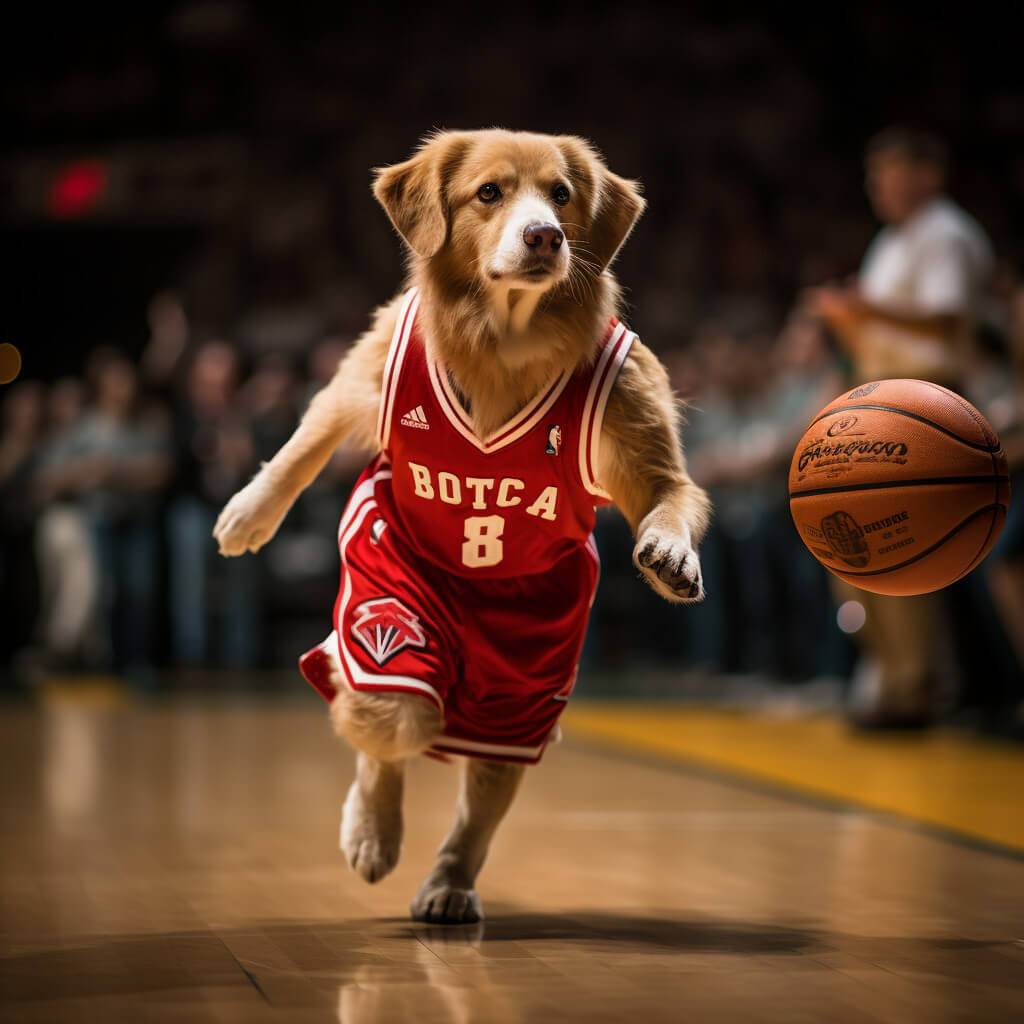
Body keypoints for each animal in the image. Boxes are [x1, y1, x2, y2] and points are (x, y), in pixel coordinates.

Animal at [214, 132, 712, 925]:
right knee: (394, 721)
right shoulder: (370, 370)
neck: (507, 332)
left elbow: (668, 494)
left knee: (487, 784)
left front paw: (669, 552)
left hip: (524, 691)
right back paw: (373, 831)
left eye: (562, 195)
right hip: (392, 623)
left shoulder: (638, 419)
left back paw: (450, 879)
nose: (544, 234)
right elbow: (307, 437)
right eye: (489, 193)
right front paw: (250, 511)